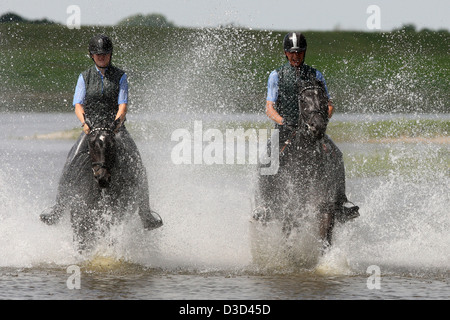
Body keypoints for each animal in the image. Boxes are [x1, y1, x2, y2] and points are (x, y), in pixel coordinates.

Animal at [42, 119, 162, 251]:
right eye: (91, 144)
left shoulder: (116, 218)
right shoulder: (79, 218)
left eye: (112, 144)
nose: (102, 177)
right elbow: (81, 244)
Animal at [255, 86, 356, 251]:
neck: (306, 162)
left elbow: (325, 239)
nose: (317, 126)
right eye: (302, 100)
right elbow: (289, 236)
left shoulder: (325, 207)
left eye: (324, 99)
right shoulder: (291, 207)